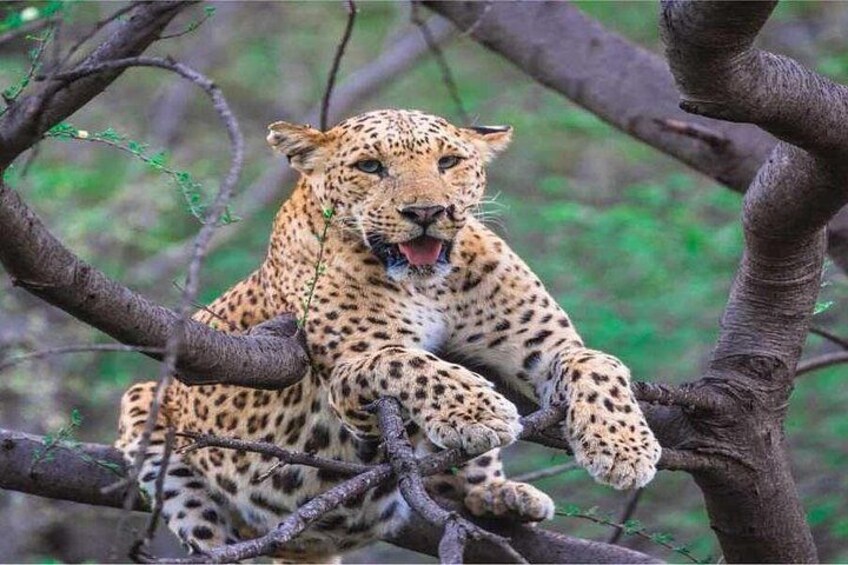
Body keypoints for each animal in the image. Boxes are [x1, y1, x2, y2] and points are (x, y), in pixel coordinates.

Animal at [116, 109, 661, 562]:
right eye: (371, 167)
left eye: (448, 162)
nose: (426, 212)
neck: (431, 286)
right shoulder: (352, 373)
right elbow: (412, 362)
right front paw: (481, 410)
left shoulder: (548, 349)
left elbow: (599, 363)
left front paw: (624, 449)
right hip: (148, 404)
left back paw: (501, 495)